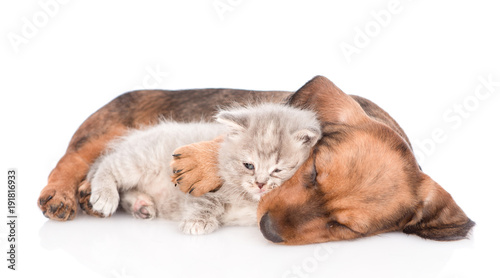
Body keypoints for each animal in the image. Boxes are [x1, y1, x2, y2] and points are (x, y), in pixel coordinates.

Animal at [86, 103, 320, 233]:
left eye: (277, 170)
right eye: (249, 165)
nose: (260, 184)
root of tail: (131, 139)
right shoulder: (199, 184)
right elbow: (206, 200)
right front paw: (196, 222)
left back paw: (141, 206)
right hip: (142, 159)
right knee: (108, 164)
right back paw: (105, 197)